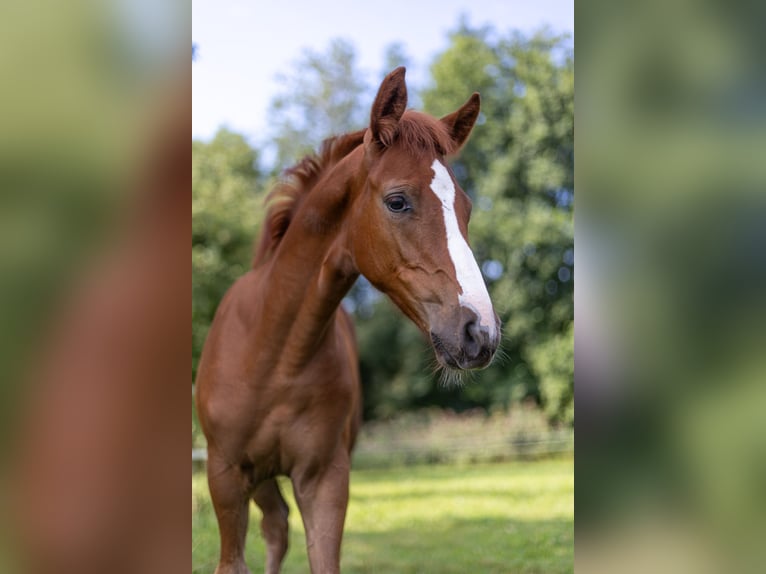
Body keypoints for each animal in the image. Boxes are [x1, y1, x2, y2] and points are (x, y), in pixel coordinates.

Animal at [195, 68, 500, 574]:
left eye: (466, 208)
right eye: (397, 201)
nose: (481, 333)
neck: (273, 355)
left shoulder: (325, 480)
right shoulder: (224, 475)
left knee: (277, 527)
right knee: (275, 527)